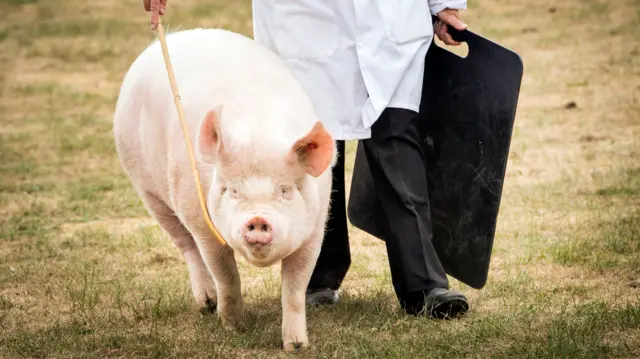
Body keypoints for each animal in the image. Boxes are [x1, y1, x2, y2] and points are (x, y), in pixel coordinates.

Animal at [112, 28, 338, 352]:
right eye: (232, 191)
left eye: (284, 190)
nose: (258, 219)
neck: (259, 133)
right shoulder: (202, 222)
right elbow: (226, 274)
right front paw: (233, 328)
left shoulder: (315, 228)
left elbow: (295, 286)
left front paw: (296, 346)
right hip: (147, 188)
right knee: (186, 245)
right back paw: (206, 304)